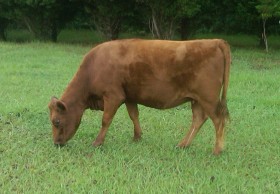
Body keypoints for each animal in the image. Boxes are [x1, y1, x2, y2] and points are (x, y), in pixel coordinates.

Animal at [48, 38, 232, 155]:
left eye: (56, 121)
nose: (56, 143)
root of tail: (215, 41)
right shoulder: (129, 96)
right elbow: (134, 115)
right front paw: (137, 137)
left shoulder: (113, 96)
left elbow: (106, 120)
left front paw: (97, 143)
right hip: (197, 100)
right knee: (198, 120)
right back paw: (183, 145)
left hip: (208, 98)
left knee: (218, 120)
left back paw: (217, 150)